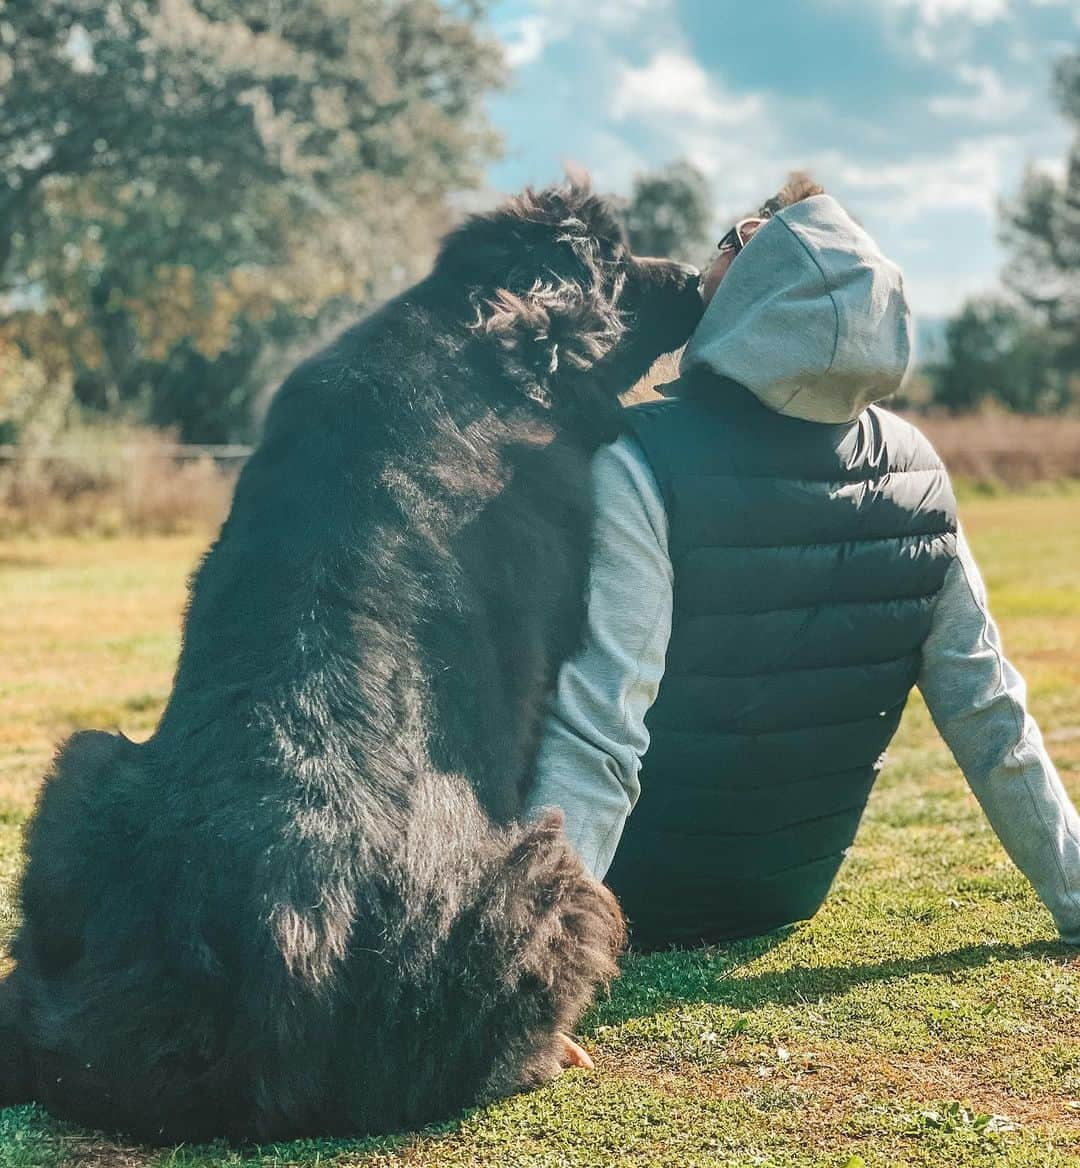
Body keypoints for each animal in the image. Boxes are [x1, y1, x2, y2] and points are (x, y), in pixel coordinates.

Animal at [0, 182, 705, 1139]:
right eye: (620, 264)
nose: (697, 276)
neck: (474, 323)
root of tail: (278, 935)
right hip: (546, 882)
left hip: (81, 770)